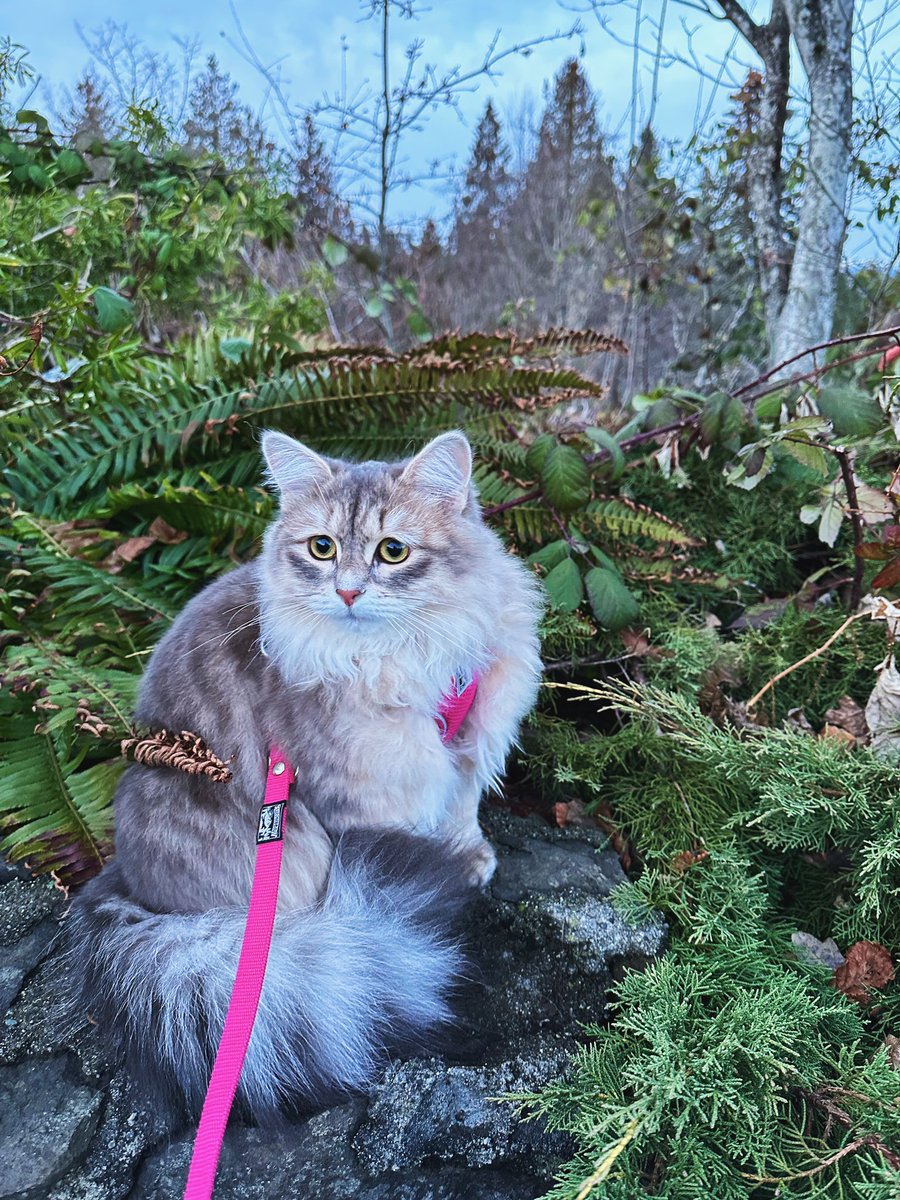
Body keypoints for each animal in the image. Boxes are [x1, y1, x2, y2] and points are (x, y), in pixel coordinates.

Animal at [66, 427, 542, 1118]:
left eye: (392, 551)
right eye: (322, 548)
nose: (347, 591)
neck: (404, 656)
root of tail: (121, 886)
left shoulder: (464, 745)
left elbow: (460, 810)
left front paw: (468, 857)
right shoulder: (362, 792)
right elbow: (407, 837)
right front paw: (435, 876)